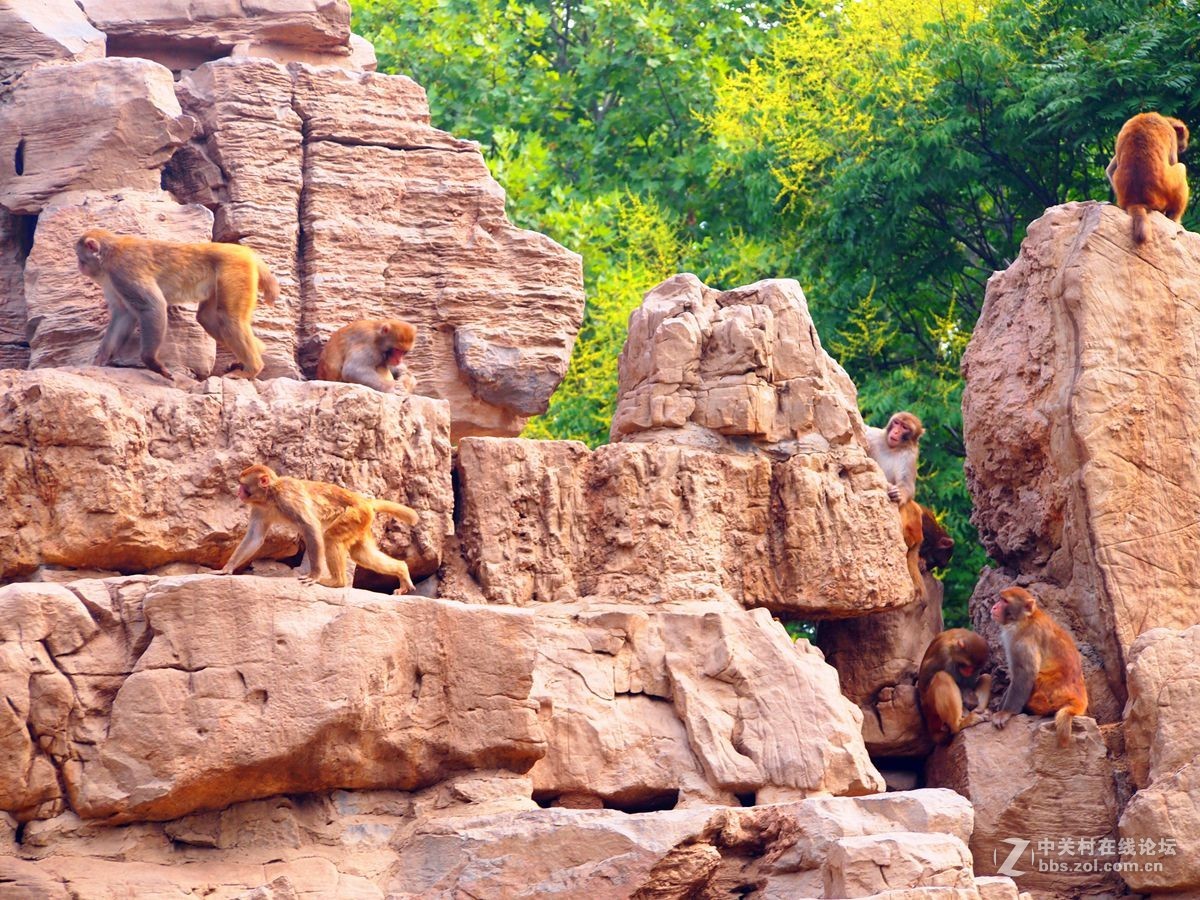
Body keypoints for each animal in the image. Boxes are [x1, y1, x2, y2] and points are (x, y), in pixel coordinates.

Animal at [76, 229, 278, 381]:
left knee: (228, 318)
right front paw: (99, 361)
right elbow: (124, 315)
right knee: (207, 319)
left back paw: (253, 368)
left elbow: (153, 307)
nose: (79, 266)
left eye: (80, 257)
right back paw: (256, 353)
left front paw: (153, 363)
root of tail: (246, 252)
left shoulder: (123, 271)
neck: (109, 254)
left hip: (235, 270)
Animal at [220, 465, 422, 600]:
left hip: (354, 515)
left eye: (242, 485)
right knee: (361, 554)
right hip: (361, 523)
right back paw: (402, 570)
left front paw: (314, 575)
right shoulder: (259, 508)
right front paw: (227, 568)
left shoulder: (287, 497)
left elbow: (310, 526)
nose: (238, 492)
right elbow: (255, 537)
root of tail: (364, 501)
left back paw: (337, 582)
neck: (269, 495)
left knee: (330, 538)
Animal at [988, 585, 1094, 748]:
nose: (994, 607)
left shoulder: (1024, 640)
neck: (1025, 619)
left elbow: (1026, 674)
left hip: (1050, 696)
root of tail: (1080, 701)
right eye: (1000, 599)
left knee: (1037, 677)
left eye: (1004, 601)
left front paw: (1006, 712)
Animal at [1104, 112, 1190, 247]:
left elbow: (1111, 170)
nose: (1184, 147)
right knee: (1181, 168)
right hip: (1164, 195)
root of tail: (1136, 201)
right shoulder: (1170, 134)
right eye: (1182, 141)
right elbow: (1173, 162)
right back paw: (1174, 219)